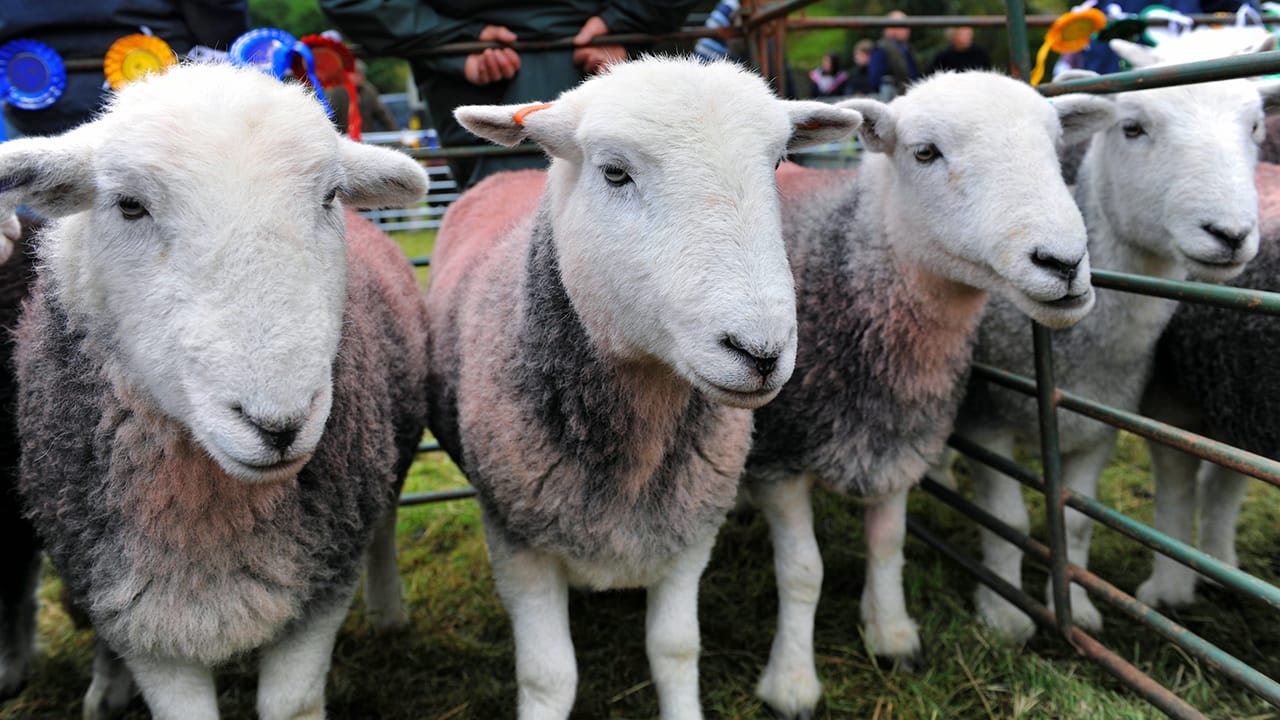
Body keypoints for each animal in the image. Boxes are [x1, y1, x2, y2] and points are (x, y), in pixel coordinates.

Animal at [0, 63, 432, 717]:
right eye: (129, 205)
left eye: (329, 196)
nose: (278, 425)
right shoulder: (135, 611)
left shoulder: (319, 581)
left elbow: (291, 704)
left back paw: (388, 613)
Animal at [422, 57, 860, 717]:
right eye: (614, 172)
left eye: (779, 163)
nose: (760, 353)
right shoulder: (516, 539)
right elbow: (549, 677)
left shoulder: (688, 529)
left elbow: (674, 649)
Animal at [747, 70, 1116, 712]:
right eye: (924, 153)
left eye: (1055, 145)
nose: (1064, 264)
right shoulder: (778, 454)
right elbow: (802, 572)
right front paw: (792, 681)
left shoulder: (900, 441)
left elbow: (888, 543)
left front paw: (891, 634)